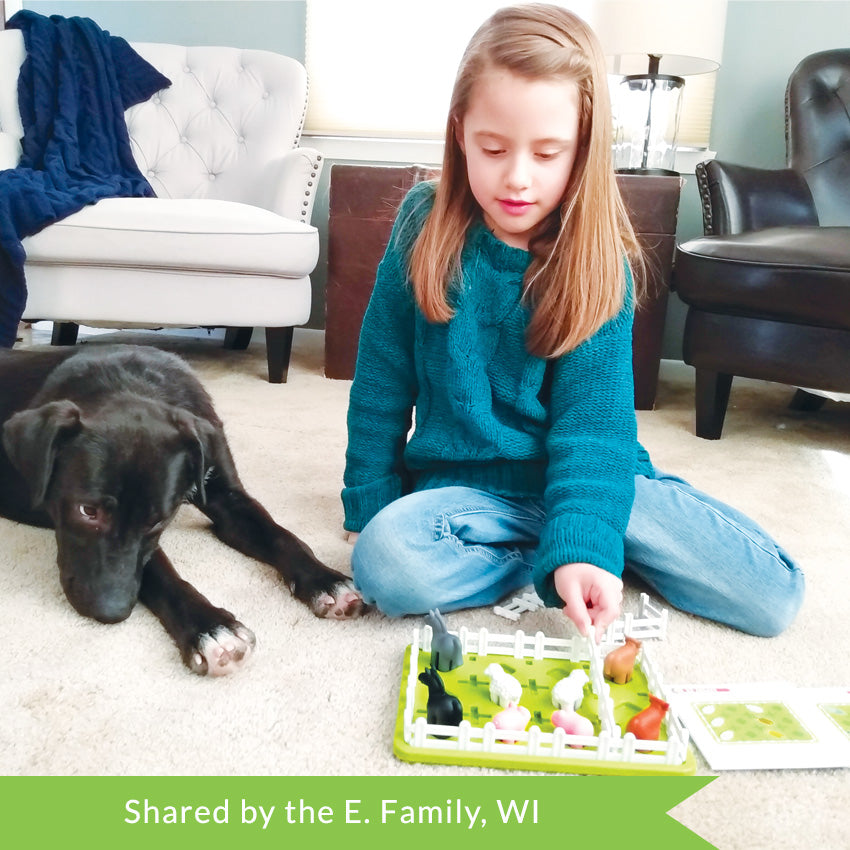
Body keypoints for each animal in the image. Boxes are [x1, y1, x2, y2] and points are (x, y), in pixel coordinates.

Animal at [0, 344, 362, 676]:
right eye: (87, 510)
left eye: (158, 521)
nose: (110, 612)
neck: (130, 383)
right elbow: (158, 570)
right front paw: (210, 628)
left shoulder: (228, 497)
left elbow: (282, 536)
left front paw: (326, 581)